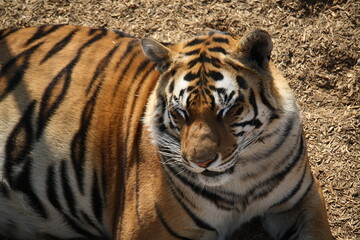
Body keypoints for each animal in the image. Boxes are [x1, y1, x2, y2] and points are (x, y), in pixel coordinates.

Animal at [0, 24, 334, 240]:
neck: (242, 183)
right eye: (179, 113)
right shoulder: (146, 230)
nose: (201, 162)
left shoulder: (303, 200)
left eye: (228, 110)